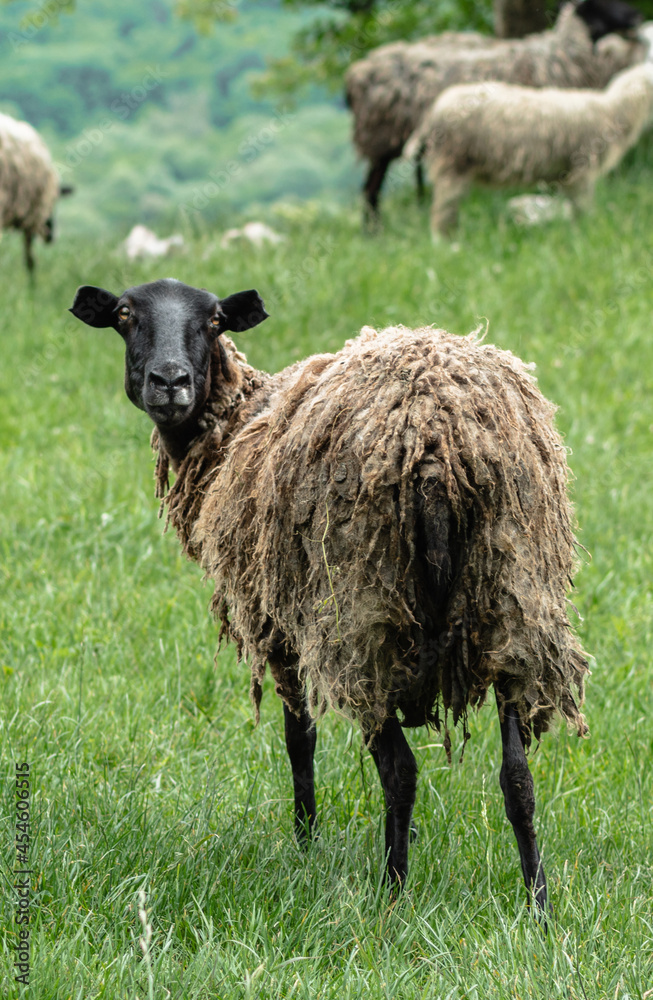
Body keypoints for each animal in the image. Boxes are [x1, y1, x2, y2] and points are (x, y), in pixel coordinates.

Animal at [70, 278, 589, 912]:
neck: (234, 427)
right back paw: (538, 905)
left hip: (364, 620)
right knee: (517, 776)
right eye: (125, 314)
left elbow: (300, 739)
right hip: (513, 601)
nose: (170, 381)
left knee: (400, 770)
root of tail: (438, 439)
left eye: (214, 320)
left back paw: (393, 894)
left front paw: (305, 842)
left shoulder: (275, 621)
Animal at [345, 0, 643, 218]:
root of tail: (357, 73)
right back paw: (374, 233)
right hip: (381, 140)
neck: (561, 54)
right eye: (601, 3)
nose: (636, 17)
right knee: (370, 191)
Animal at [405, 25, 653, 237]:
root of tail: (435, 110)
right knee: (442, 211)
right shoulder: (580, 171)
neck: (612, 109)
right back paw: (448, 245)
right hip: (452, 162)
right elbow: (581, 210)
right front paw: (584, 234)